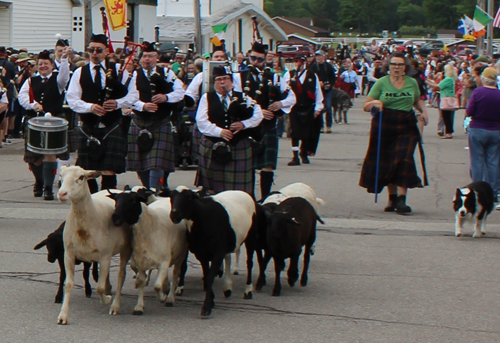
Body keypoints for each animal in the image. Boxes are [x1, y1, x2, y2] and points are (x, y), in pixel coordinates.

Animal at [56, 167, 133, 326]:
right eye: (61, 175)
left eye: (81, 177)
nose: (61, 194)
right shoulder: (69, 253)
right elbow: (68, 284)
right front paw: (63, 316)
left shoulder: (104, 256)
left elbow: (99, 287)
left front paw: (106, 301)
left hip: (125, 249)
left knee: (121, 275)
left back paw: (115, 305)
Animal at [171, 187, 260, 318]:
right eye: (171, 197)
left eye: (189, 197)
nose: (174, 214)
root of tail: (243, 192)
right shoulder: (202, 253)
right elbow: (208, 275)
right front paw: (211, 300)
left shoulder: (217, 253)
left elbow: (209, 277)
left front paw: (206, 307)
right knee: (228, 258)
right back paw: (227, 288)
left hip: (251, 236)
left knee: (249, 263)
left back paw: (248, 291)